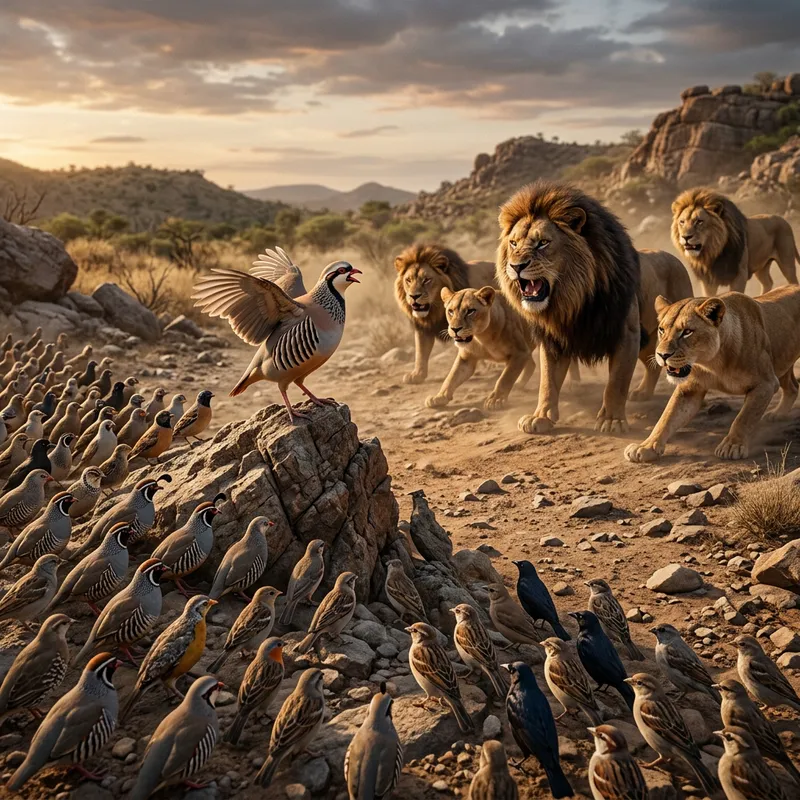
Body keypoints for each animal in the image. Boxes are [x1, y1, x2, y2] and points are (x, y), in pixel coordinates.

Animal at [394, 244, 495, 384]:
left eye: (427, 280)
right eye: (408, 280)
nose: (414, 296)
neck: (435, 311)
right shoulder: (424, 327)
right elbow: (421, 350)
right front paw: (417, 375)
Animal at [496, 180, 644, 434]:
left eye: (543, 243)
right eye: (513, 243)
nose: (516, 266)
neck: (574, 301)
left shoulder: (627, 332)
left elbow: (617, 382)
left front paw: (612, 420)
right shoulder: (552, 338)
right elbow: (547, 381)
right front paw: (540, 417)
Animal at [625, 285, 800, 463]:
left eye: (687, 332)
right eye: (661, 329)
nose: (662, 355)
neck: (713, 363)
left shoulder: (766, 384)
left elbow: (744, 418)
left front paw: (732, 446)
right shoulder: (689, 389)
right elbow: (667, 418)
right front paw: (646, 446)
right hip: (783, 362)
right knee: (793, 387)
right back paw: (778, 414)